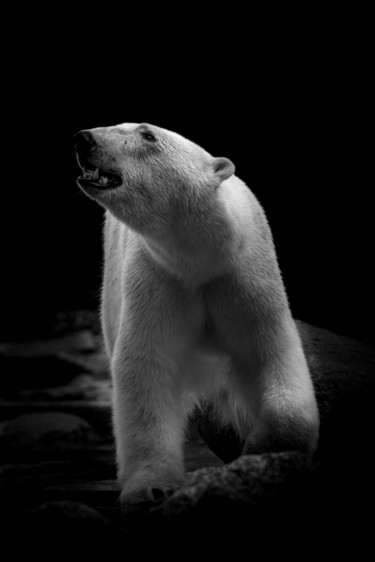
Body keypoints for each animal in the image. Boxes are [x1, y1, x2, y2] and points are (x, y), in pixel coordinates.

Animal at [74, 122, 320, 504]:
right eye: (116, 125)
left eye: (148, 135)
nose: (84, 138)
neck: (201, 258)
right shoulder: (158, 278)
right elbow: (145, 366)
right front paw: (152, 487)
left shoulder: (245, 277)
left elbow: (268, 352)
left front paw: (262, 450)